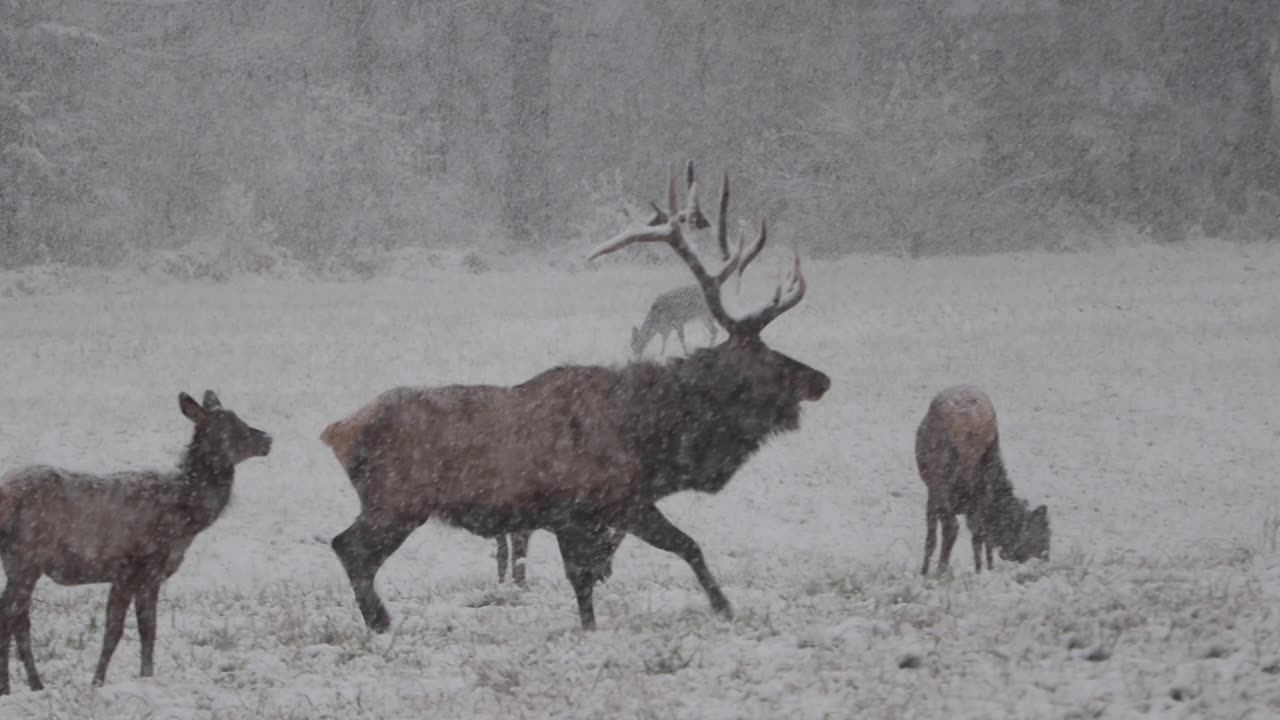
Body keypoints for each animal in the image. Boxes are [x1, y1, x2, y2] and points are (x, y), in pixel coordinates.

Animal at [0, 389, 270, 691]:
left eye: (239, 418)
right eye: (228, 426)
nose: (267, 439)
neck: (184, 517)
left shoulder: (150, 576)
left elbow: (148, 629)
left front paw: (146, 676)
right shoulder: (131, 566)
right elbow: (114, 631)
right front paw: (97, 682)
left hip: (20, 563)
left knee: (19, 620)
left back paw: (35, 685)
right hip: (25, 556)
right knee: (8, 617)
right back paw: (10, 688)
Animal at [320, 161, 829, 627]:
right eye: (768, 358)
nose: (822, 379)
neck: (655, 441)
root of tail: (336, 431)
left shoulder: (590, 515)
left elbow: (592, 577)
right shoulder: (598, 504)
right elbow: (677, 550)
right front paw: (724, 608)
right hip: (395, 502)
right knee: (348, 547)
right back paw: (381, 623)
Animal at [916, 384, 1054, 573]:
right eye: (1043, 535)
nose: (1046, 561)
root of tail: (973, 426)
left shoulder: (933, 494)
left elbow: (931, 538)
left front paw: (924, 573)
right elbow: (983, 536)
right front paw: (985, 570)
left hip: (942, 480)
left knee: (952, 527)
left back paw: (940, 572)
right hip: (981, 472)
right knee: (977, 531)